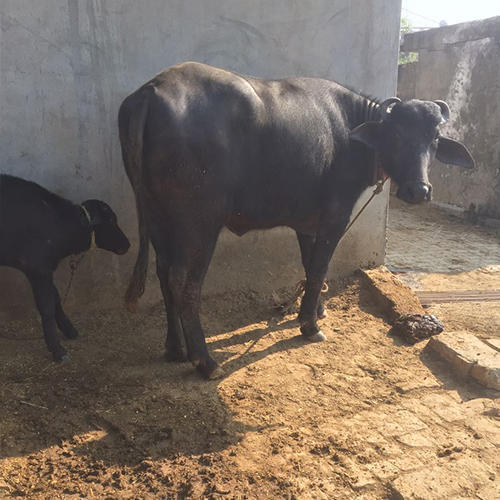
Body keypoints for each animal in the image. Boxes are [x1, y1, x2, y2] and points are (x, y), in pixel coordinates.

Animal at [0, 175, 129, 360]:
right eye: (111, 220)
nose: (127, 244)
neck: (58, 222)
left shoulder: (46, 269)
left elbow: (56, 299)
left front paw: (70, 331)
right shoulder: (38, 269)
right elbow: (47, 307)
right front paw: (57, 349)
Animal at [119, 60, 474, 376]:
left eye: (434, 139)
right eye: (397, 134)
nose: (418, 190)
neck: (352, 134)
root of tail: (153, 90)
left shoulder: (308, 223)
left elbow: (308, 264)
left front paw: (317, 309)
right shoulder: (335, 216)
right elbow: (319, 268)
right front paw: (310, 325)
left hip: (157, 216)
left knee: (163, 273)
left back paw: (175, 348)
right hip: (198, 223)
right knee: (184, 282)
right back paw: (205, 361)